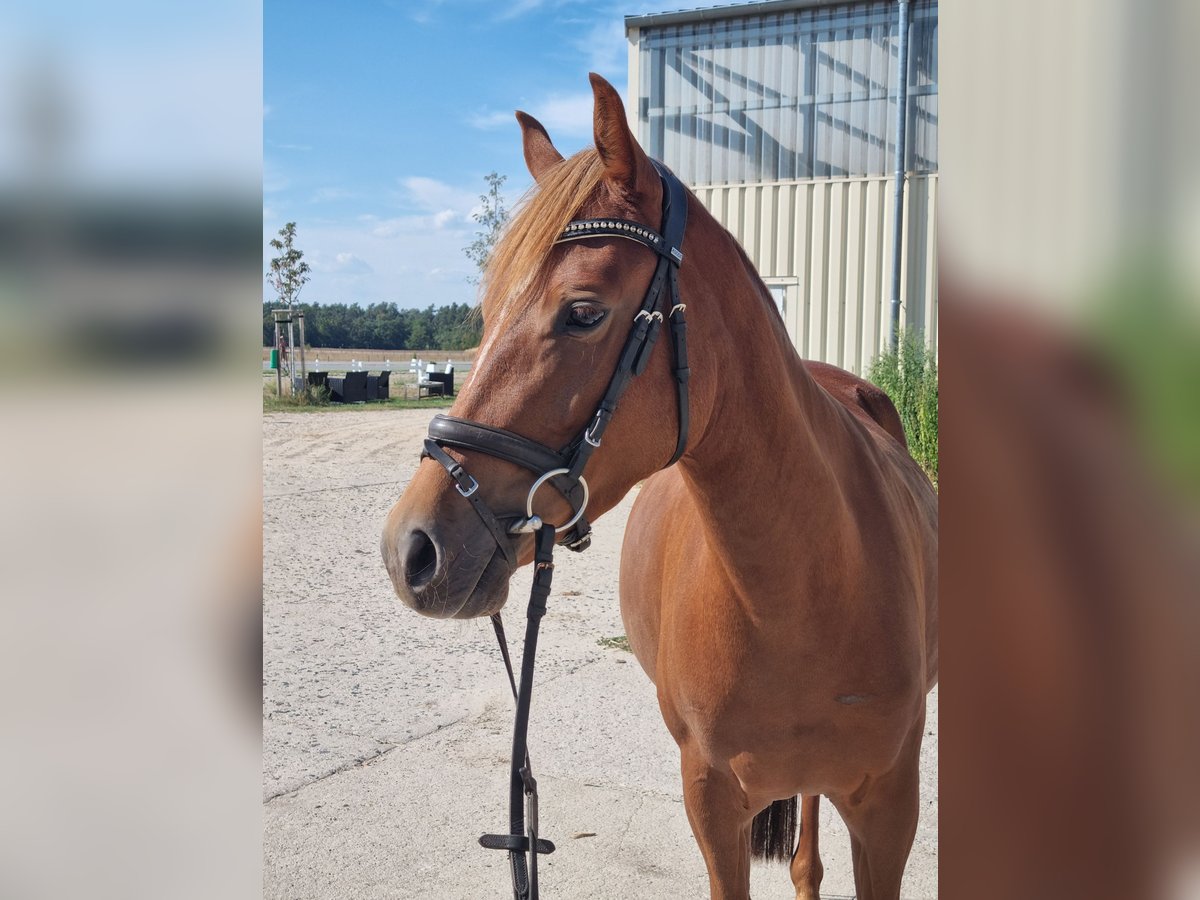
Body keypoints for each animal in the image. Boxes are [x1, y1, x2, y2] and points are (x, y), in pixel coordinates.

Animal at [384, 77, 936, 900]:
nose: (411, 549)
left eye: (583, 312)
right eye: (483, 314)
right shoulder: (711, 800)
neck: (807, 586)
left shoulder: (890, 807)